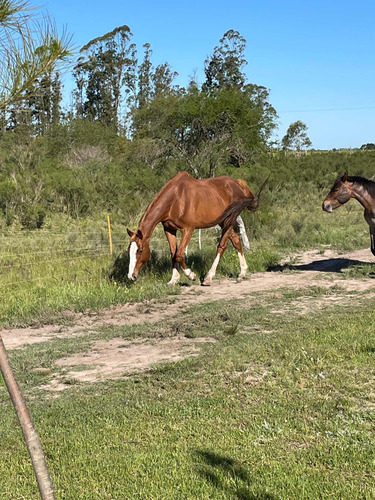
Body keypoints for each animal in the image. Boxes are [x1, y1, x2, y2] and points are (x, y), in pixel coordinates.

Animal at [128, 172, 266, 286]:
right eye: (129, 249)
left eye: (140, 250)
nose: (131, 276)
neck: (176, 199)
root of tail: (239, 184)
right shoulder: (169, 230)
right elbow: (173, 254)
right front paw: (174, 279)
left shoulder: (188, 229)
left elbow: (179, 254)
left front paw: (191, 275)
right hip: (223, 222)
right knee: (236, 240)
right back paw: (242, 273)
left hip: (229, 220)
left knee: (222, 246)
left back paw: (208, 277)